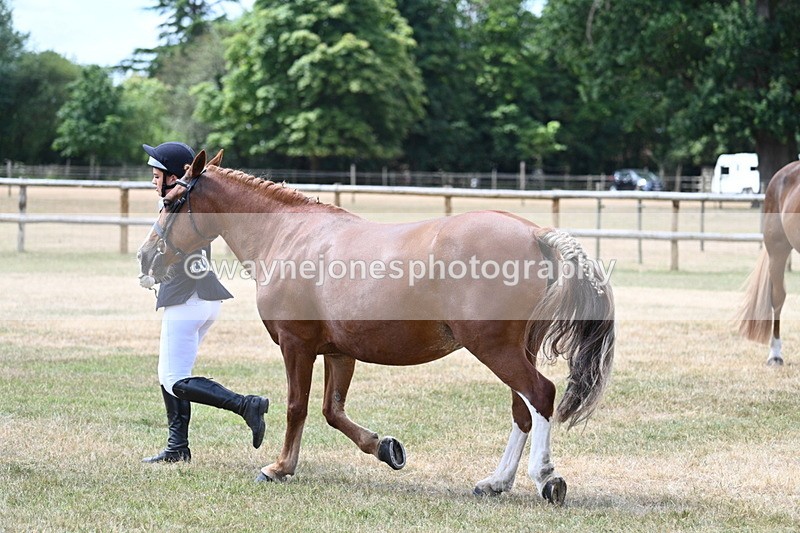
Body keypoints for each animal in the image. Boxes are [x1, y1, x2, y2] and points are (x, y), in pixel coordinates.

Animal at [137, 149, 615, 505]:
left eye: (171, 201)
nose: (146, 256)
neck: (288, 235)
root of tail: (535, 234)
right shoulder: (338, 351)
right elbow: (333, 411)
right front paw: (386, 449)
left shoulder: (296, 345)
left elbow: (297, 407)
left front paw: (279, 467)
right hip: (515, 349)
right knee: (523, 409)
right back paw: (495, 482)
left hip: (495, 348)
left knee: (540, 395)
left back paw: (546, 478)